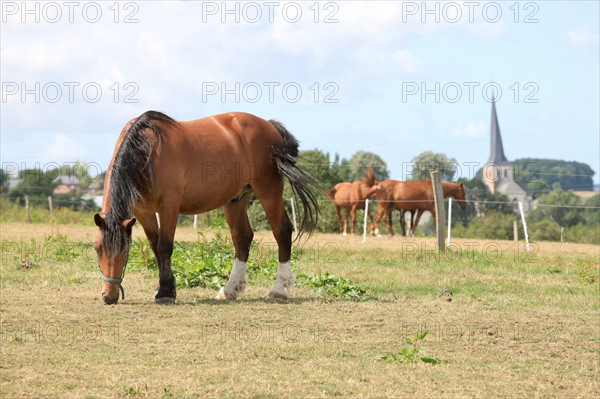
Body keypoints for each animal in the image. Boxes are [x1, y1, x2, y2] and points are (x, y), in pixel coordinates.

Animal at [93, 111, 318, 304]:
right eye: (97, 248)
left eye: (125, 251)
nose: (109, 296)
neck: (147, 151)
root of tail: (269, 126)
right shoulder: (144, 212)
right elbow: (155, 247)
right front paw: (166, 287)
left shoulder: (169, 206)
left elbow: (165, 246)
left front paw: (165, 293)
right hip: (236, 200)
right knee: (242, 238)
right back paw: (230, 289)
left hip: (268, 191)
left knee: (282, 231)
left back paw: (278, 290)